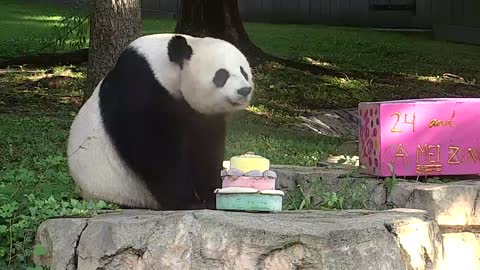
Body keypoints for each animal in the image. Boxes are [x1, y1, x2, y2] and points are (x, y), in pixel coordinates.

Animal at [68, 33, 255, 211]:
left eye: (244, 72)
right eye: (221, 75)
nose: (244, 90)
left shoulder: (201, 115)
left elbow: (205, 148)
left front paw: (213, 195)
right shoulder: (138, 88)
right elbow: (152, 149)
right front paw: (189, 202)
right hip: (111, 189)